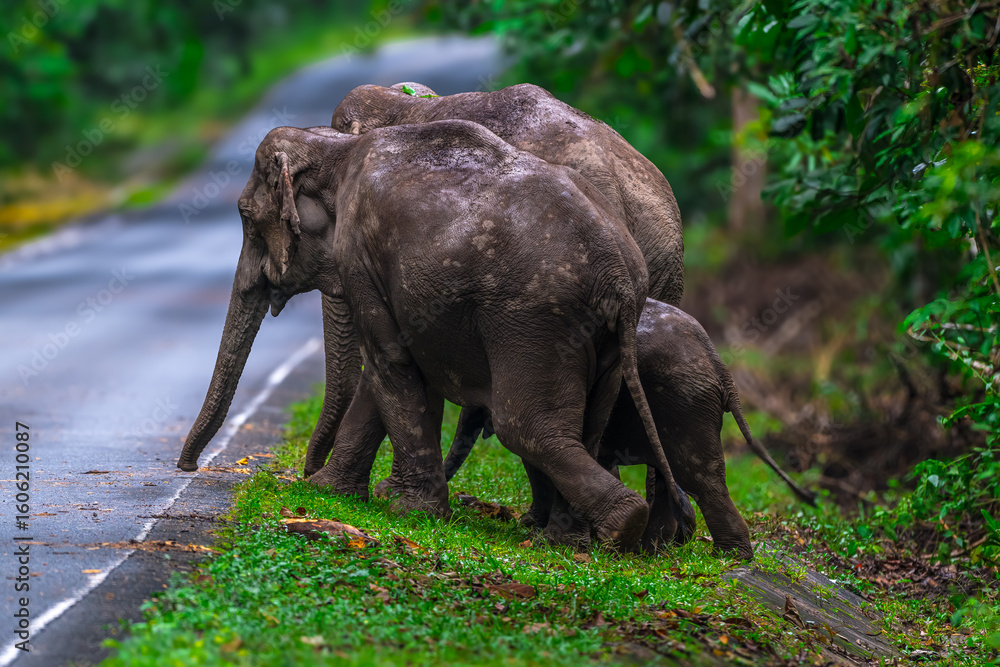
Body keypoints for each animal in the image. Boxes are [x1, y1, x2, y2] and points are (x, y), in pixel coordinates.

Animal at [443, 299, 818, 559]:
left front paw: (531, 526)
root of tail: (721, 367)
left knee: (696, 477)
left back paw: (717, 556)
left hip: (683, 404)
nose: (458, 501)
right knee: (696, 475)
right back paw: (670, 551)